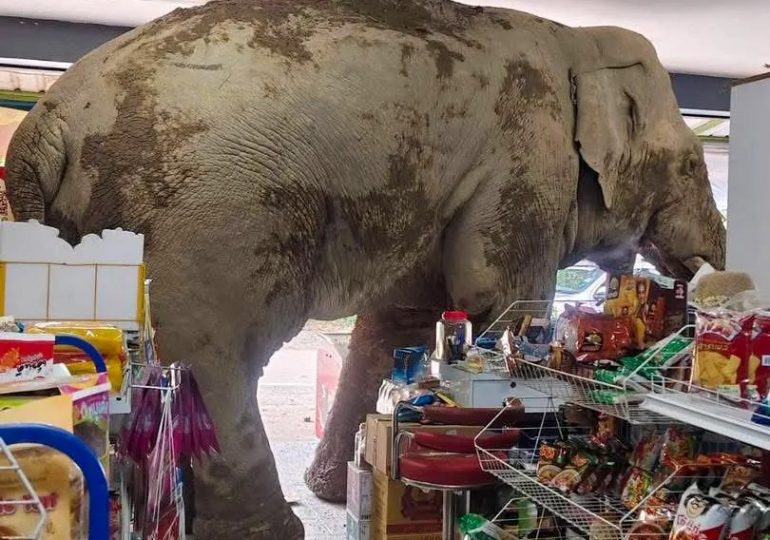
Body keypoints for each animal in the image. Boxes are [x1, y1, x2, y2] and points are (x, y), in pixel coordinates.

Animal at [5, 0, 725, 537]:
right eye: (693, 165)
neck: (578, 43)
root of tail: (45, 122)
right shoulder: (527, 153)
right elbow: (500, 296)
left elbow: (398, 322)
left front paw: (344, 483)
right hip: (210, 212)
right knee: (216, 350)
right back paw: (274, 531)